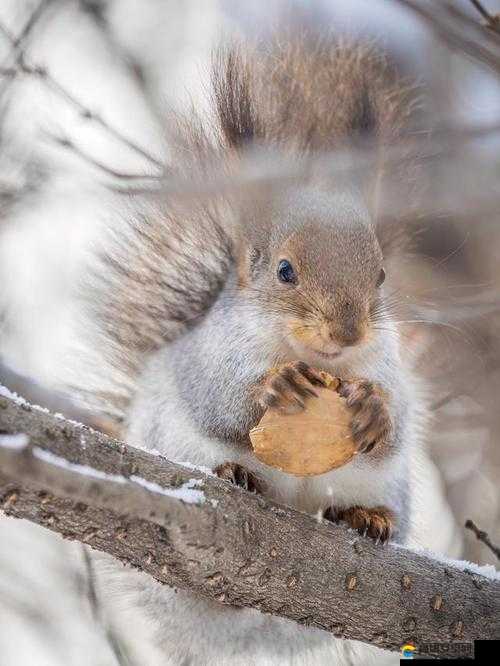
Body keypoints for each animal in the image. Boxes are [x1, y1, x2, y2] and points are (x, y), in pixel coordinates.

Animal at [85, 35, 426, 664]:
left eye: (382, 275)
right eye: (285, 271)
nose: (347, 333)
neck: (316, 359)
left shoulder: (390, 364)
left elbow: (400, 421)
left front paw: (374, 410)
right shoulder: (209, 356)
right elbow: (220, 401)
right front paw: (275, 387)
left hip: (387, 485)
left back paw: (366, 518)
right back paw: (236, 476)